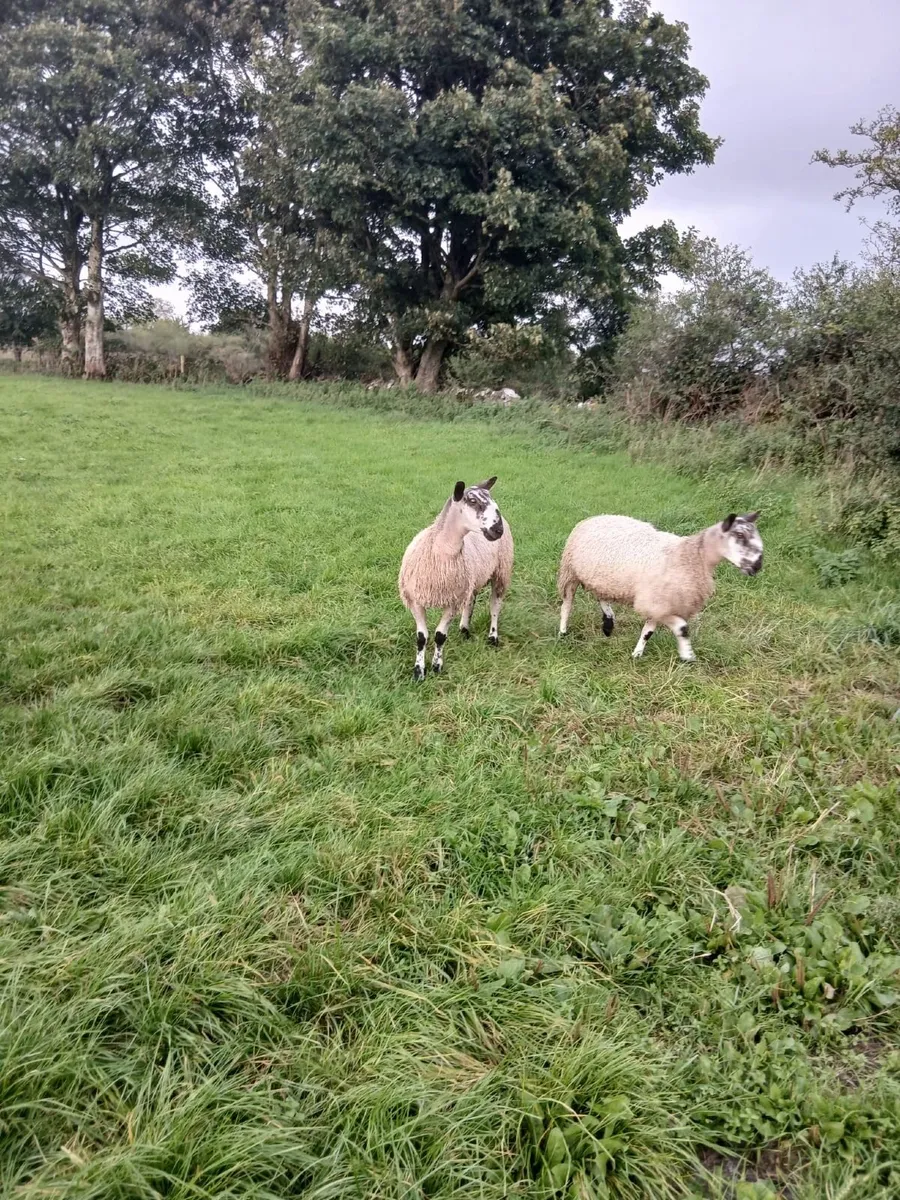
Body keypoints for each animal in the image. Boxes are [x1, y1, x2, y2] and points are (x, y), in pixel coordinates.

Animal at [398, 478, 514, 680]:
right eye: (473, 501)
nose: (497, 530)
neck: (441, 551)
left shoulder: (452, 601)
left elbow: (439, 636)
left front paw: (437, 666)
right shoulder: (415, 599)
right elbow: (421, 637)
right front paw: (418, 672)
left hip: (501, 571)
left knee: (494, 606)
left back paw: (493, 637)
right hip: (471, 579)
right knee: (470, 600)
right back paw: (464, 629)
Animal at [557, 511, 763, 661]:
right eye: (739, 535)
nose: (757, 566)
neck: (692, 557)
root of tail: (594, 517)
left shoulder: (659, 602)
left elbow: (648, 631)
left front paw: (637, 654)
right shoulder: (657, 603)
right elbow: (682, 627)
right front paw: (687, 656)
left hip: (603, 577)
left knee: (601, 597)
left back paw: (608, 623)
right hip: (570, 572)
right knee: (567, 604)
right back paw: (563, 632)